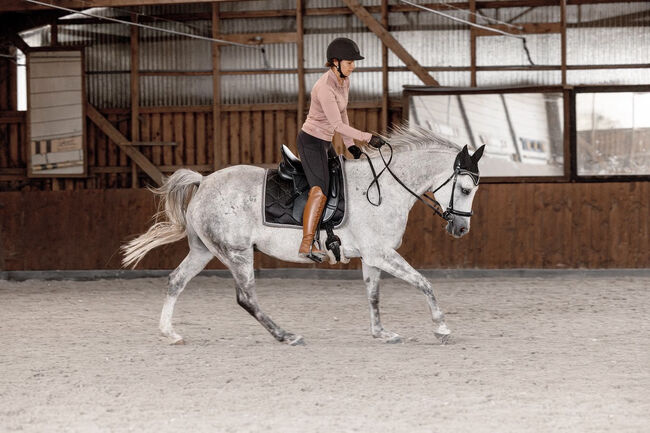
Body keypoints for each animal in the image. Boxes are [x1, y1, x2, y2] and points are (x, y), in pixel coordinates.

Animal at [124, 125, 484, 344]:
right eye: (466, 189)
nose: (461, 229)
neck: (385, 187)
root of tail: (204, 181)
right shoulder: (382, 254)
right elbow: (424, 283)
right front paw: (441, 327)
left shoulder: (373, 256)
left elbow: (373, 295)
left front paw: (382, 333)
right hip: (237, 253)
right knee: (246, 297)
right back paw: (286, 335)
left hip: (204, 250)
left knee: (176, 281)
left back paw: (169, 333)